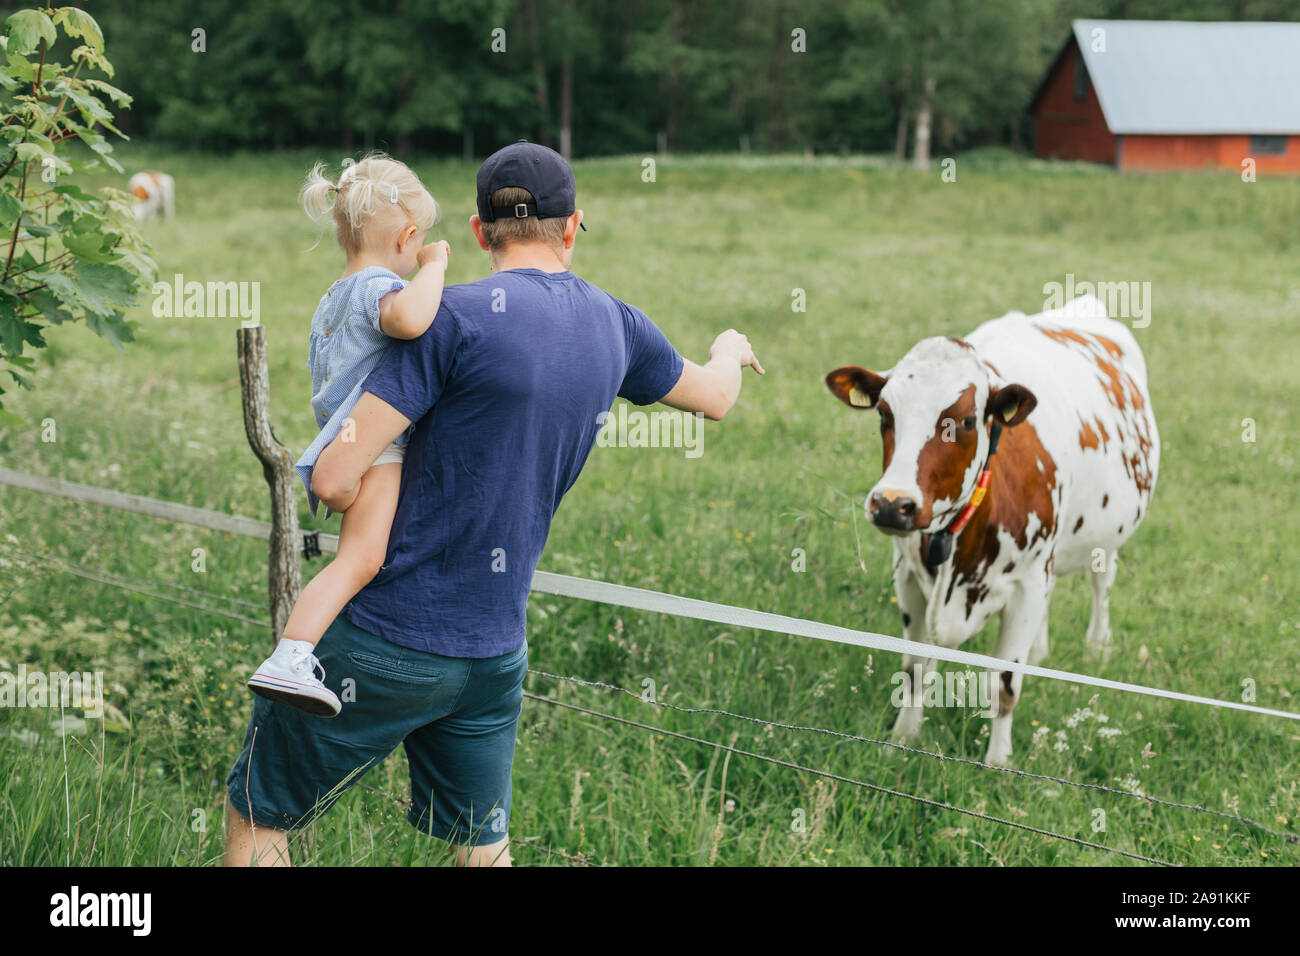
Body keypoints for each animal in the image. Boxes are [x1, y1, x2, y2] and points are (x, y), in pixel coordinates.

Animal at [821, 295, 1159, 764]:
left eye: (965, 420)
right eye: (885, 414)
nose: (892, 504)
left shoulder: (1026, 585)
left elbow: (1004, 684)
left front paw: (998, 762)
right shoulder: (907, 576)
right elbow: (914, 669)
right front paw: (902, 740)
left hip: (1104, 541)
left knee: (1100, 584)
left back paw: (1097, 646)